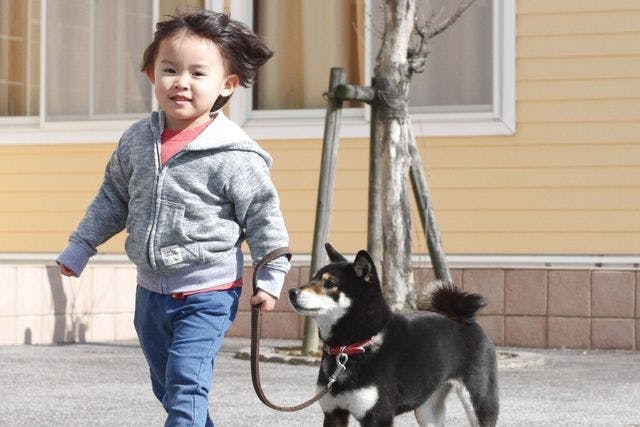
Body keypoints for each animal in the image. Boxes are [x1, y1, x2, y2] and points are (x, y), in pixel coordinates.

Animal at [290, 244, 500, 427]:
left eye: (329, 283)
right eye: (312, 278)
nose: (292, 291)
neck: (352, 346)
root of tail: (461, 318)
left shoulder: (378, 415)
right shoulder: (334, 412)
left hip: (480, 401)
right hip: (428, 409)